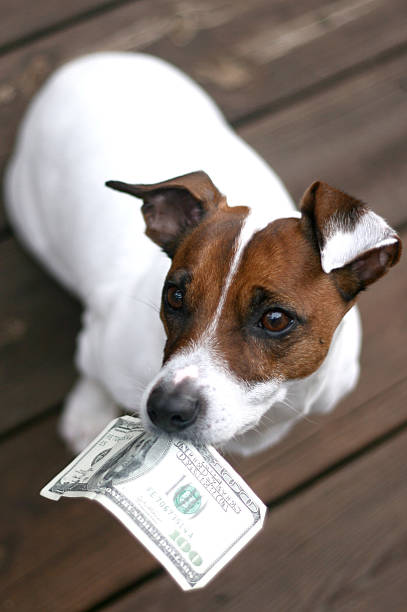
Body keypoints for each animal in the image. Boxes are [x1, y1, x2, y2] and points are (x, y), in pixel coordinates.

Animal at [3, 51, 402, 454]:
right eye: (175, 296)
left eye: (276, 320)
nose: (166, 409)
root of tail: (86, 61)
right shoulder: (100, 336)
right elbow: (92, 370)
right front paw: (88, 411)